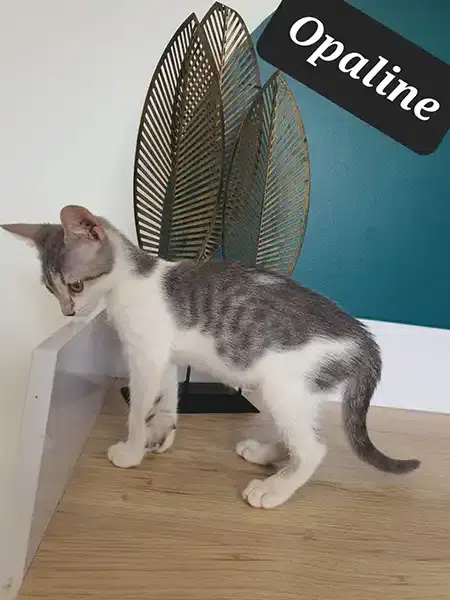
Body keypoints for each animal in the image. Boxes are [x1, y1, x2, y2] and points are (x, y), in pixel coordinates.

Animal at [1, 205, 420, 509]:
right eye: (52, 289)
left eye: (75, 285)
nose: (67, 313)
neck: (130, 283)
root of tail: (364, 337)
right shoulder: (165, 357)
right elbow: (167, 397)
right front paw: (161, 434)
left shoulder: (146, 357)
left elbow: (137, 410)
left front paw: (132, 451)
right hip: (297, 392)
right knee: (300, 435)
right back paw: (267, 452)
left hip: (283, 386)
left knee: (313, 449)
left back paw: (274, 490)